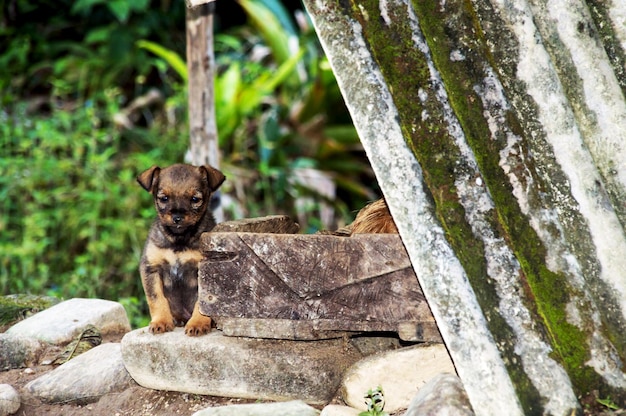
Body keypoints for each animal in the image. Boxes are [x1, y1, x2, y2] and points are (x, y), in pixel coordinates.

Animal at [136, 162, 224, 334]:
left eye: (195, 199)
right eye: (164, 198)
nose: (177, 217)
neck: (179, 240)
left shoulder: (202, 270)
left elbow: (201, 302)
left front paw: (197, 323)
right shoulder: (151, 268)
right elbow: (156, 298)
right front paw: (161, 321)